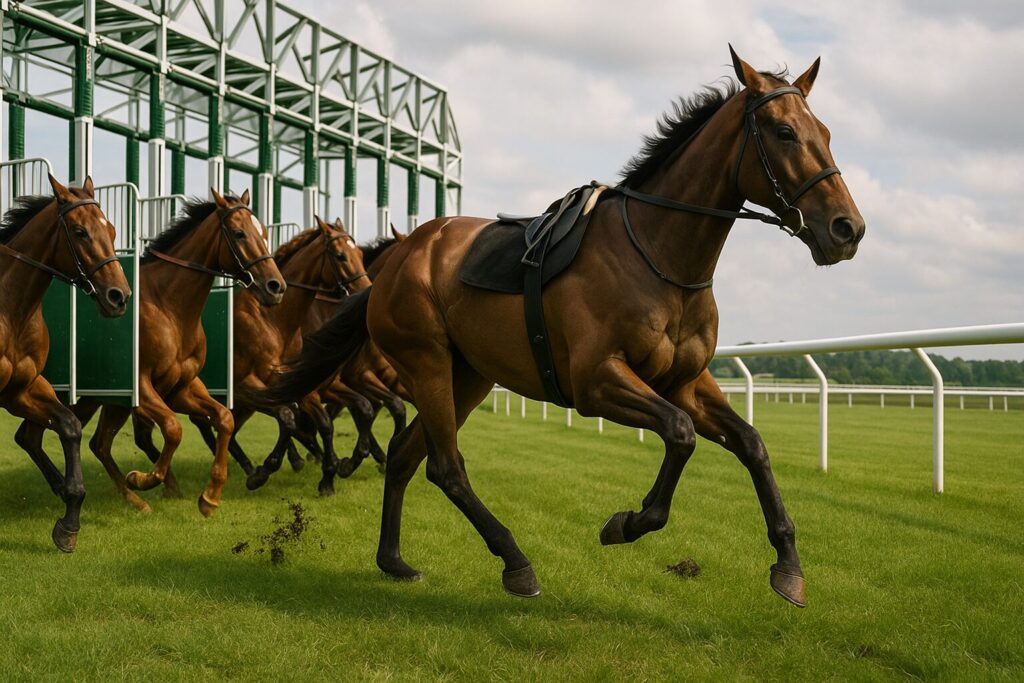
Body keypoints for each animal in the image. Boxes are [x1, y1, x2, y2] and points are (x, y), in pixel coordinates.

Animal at [1, 175, 132, 551]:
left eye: (112, 230)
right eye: (80, 232)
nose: (119, 296)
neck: (11, 308)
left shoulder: (22, 388)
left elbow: (69, 426)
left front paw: (69, 522)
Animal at [16, 189, 285, 517]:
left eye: (264, 234)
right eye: (239, 233)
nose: (276, 286)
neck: (169, 307)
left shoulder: (181, 388)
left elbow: (224, 419)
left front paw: (210, 497)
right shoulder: (142, 388)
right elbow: (172, 428)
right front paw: (144, 478)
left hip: (96, 400)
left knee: (88, 442)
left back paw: (128, 498)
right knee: (46, 436)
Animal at [258, 48, 865, 608]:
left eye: (826, 132)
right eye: (785, 132)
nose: (848, 228)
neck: (660, 256)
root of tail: (393, 262)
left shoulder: (687, 382)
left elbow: (752, 444)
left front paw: (788, 564)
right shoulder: (595, 382)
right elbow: (679, 434)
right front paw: (628, 521)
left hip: (469, 373)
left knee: (409, 454)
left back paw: (393, 560)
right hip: (426, 360)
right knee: (446, 466)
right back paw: (515, 561)